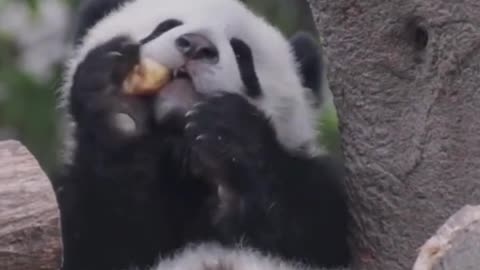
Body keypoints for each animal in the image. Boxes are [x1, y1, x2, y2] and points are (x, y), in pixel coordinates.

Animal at [54, 0, 350, 270]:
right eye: (166, 26)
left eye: (241, 54)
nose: (197, 46)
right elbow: (100, 232)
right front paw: (117, 106)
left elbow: (314, 224)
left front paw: (229, 138)